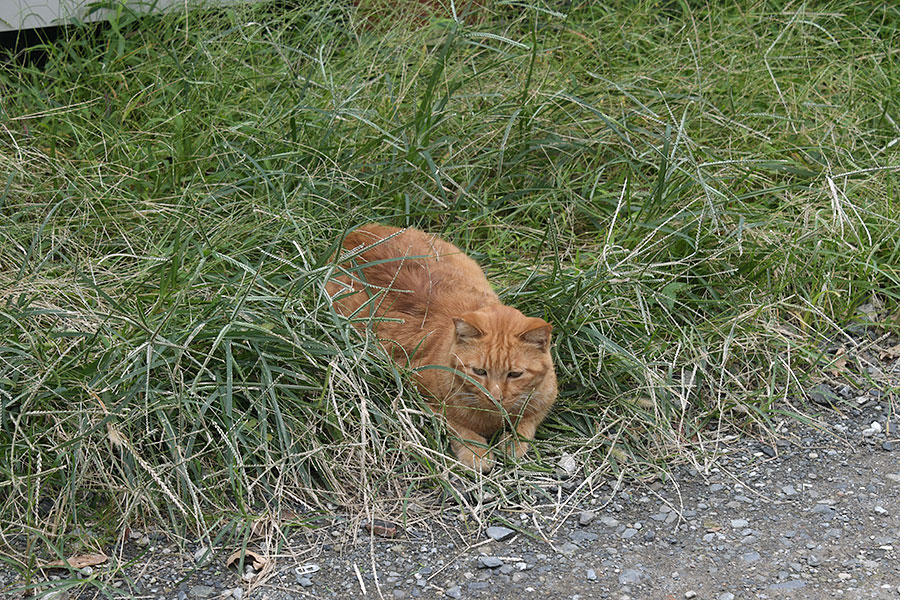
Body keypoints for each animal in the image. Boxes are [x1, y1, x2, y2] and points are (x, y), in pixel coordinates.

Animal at [326, 223, 560, 472]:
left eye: (515, 374)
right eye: (479, 371)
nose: (495, 397)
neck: (493, 417)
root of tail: (356, 230)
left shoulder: (544, 401)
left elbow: (526, 424)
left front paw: (512, 444)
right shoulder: (424, 397)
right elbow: (458, 427)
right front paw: (476, 452)